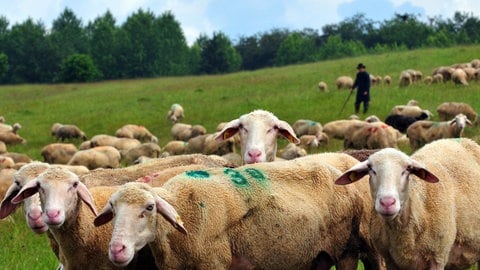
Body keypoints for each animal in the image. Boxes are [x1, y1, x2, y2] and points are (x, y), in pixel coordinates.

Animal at [94, 155, 382, 268]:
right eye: (113, 210)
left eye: (149, 207)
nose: (117, 250)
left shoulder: (213, 264)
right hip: (316, 257)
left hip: (346, 251)